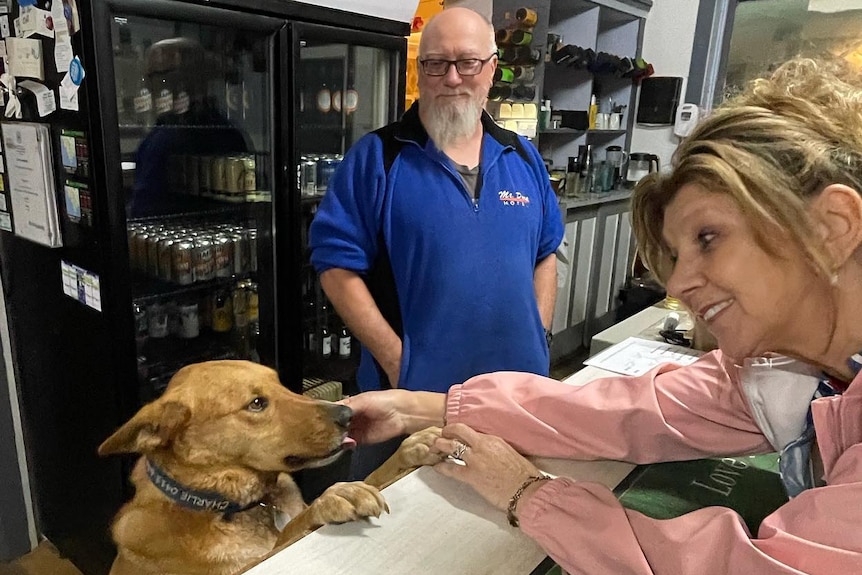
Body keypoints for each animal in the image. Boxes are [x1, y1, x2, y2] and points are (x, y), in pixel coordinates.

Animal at [98, 362, 442, 572]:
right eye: (256, 404)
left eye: (280, 385)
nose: (348, 414)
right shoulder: (253, 566)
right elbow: (289, 532)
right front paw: (332, 498)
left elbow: (374, 477)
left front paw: (413, 448)